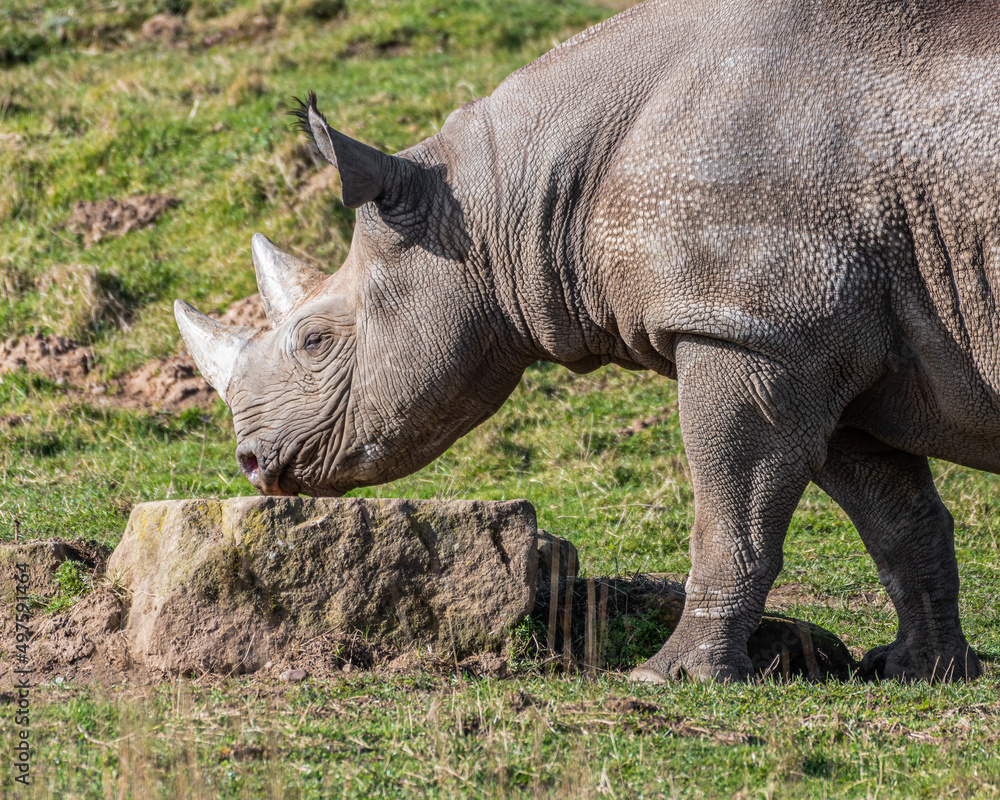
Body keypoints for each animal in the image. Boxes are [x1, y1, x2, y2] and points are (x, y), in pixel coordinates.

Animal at [174, 0, 997, 683]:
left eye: (315, 341)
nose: (252, 463)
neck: (499, 199)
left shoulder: (750, 329)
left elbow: (729, 515)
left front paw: (670, 677)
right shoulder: (816, 338)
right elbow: (898, 518)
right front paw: (918, 671)